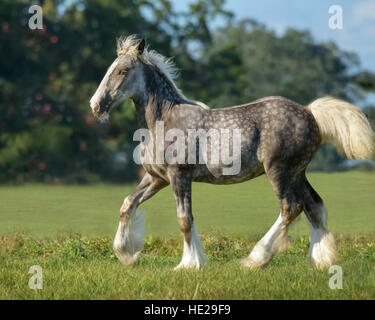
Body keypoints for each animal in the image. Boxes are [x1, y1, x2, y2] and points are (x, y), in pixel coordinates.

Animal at [89, 35, 374, 270]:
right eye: (109, 68)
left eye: (123, 70)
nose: (96, 105)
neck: (163, 121)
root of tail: (310, 113)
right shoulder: (157, 178)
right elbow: (128, 204)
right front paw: (128, 256)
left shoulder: (179, 175)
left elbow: (184, 219)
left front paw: (189, 265)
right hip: (298, 173)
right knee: (313, 206)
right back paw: (321, 260)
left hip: (279, 171)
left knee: (290, 208)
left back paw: (255, 260)